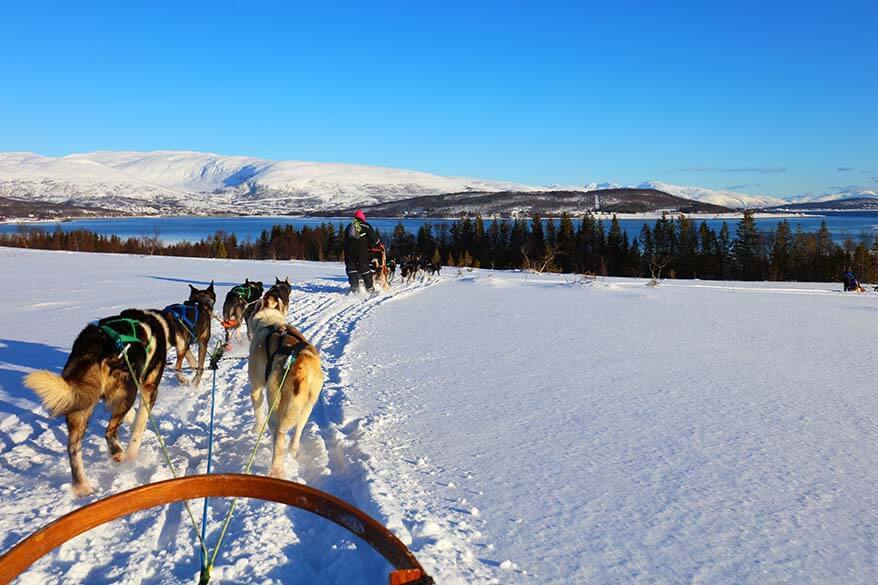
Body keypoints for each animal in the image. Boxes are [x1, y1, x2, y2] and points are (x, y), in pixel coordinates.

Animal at [22, 308, 170, 496]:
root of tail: (100, 344)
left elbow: (131, 416)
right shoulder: (148, 389)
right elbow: (139, 425)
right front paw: (132, 455)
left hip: (81, 404)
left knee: (73, 448)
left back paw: (82, 486)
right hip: (127, 393)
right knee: (109, 431)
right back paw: (118, 454)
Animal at [248, 308, 324, 476]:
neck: (269, 322)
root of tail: (299, 364)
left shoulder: (256, 389)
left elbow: (258, 414)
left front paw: (256, 430)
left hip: (276, 403)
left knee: (278, 436)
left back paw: (276, 470)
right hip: (306, 406)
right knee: (298, 429)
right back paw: (293, 450)